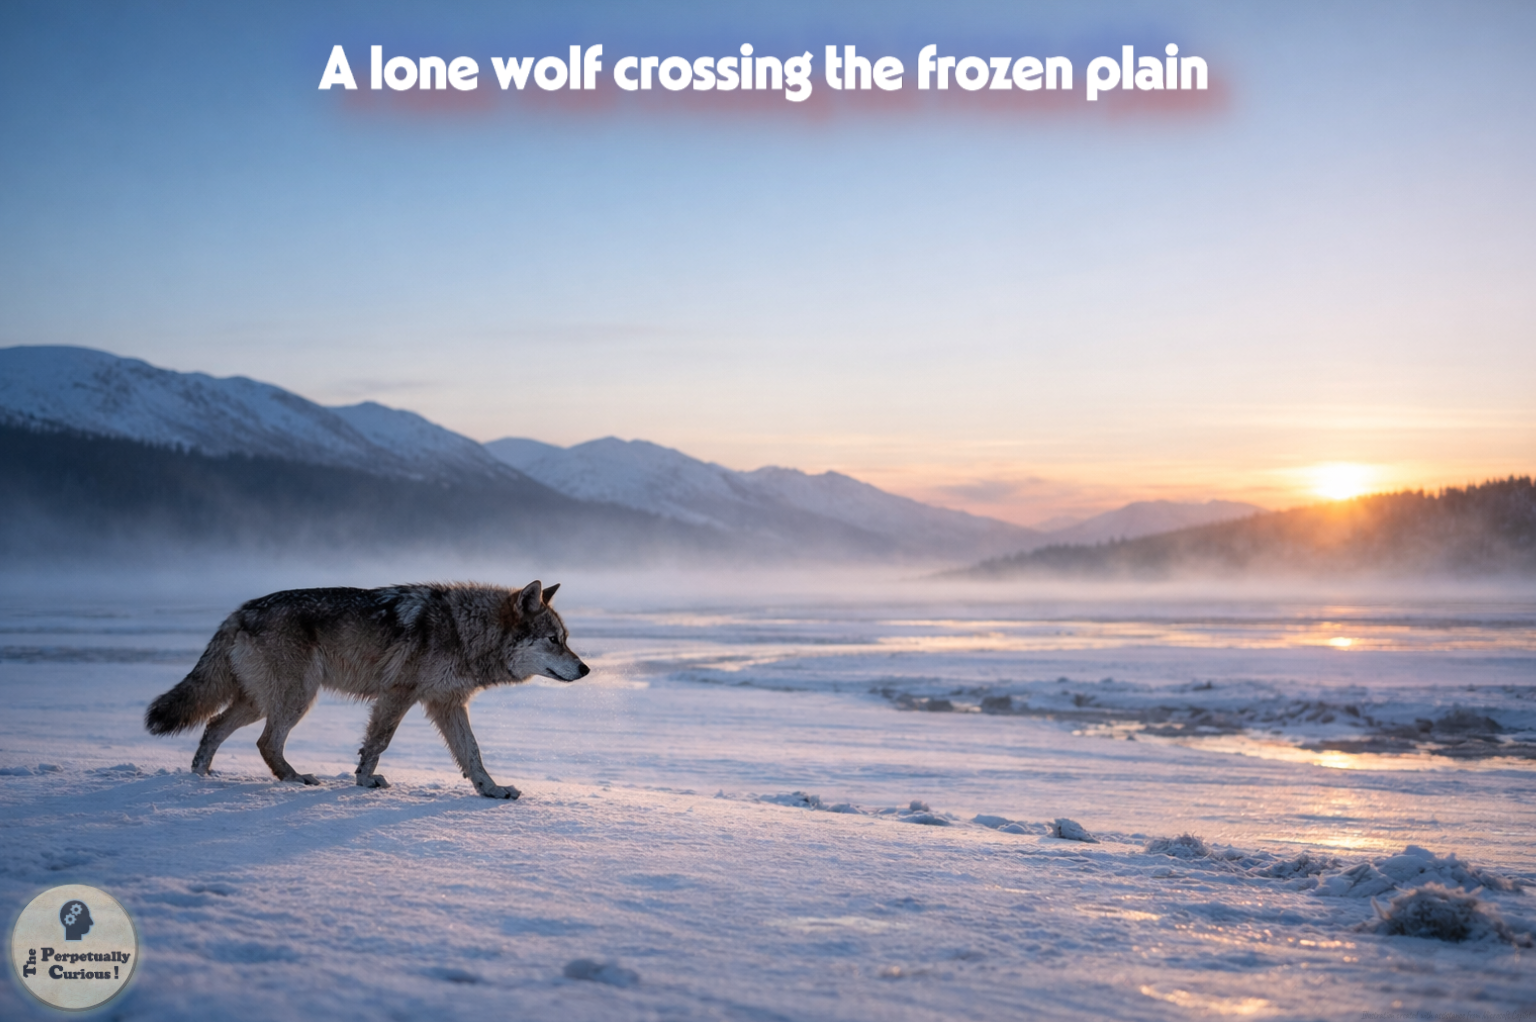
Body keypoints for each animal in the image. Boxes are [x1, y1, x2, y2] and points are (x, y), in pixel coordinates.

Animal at [144, 580, 587, 798]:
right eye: (554, 640)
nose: (585, 669)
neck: (465, 631)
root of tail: (240, 610)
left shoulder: (446, 703)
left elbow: (472, 753)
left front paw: (491, 790)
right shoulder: (398, 694)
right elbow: (378, 743)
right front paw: (363, 782)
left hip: (259, 702)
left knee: (214, 728)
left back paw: (201, 778)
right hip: (296, 698)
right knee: (265, 742)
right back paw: (294, 779)